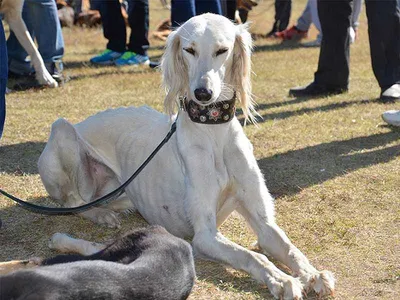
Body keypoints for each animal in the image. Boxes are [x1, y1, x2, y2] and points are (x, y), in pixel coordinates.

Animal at [38, 13, 334, 298]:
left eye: (222, 50)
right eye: (189, 49)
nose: (203, 93)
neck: (213, 130)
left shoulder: (263, 222)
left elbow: (288, 246)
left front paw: (313, 274)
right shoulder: (204, 236)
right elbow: (252, 256)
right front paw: (281, 280)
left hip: (121, 192)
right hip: (63, 131)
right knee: (73, 202)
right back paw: (96, 218)